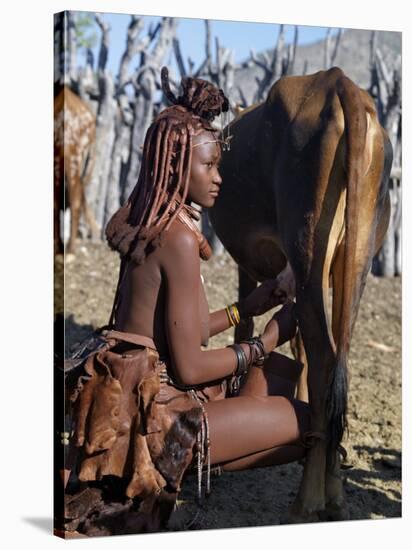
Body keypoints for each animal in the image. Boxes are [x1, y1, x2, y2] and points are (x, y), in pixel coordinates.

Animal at [211, 67, 392, 524]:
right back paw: (335, 492)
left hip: (308, 247)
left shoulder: (248, 265)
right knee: (336, 354)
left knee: (326, 358)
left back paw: (307, 501)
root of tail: (339, 84)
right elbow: (298, 349)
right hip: (354, 258)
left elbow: (245, 330)